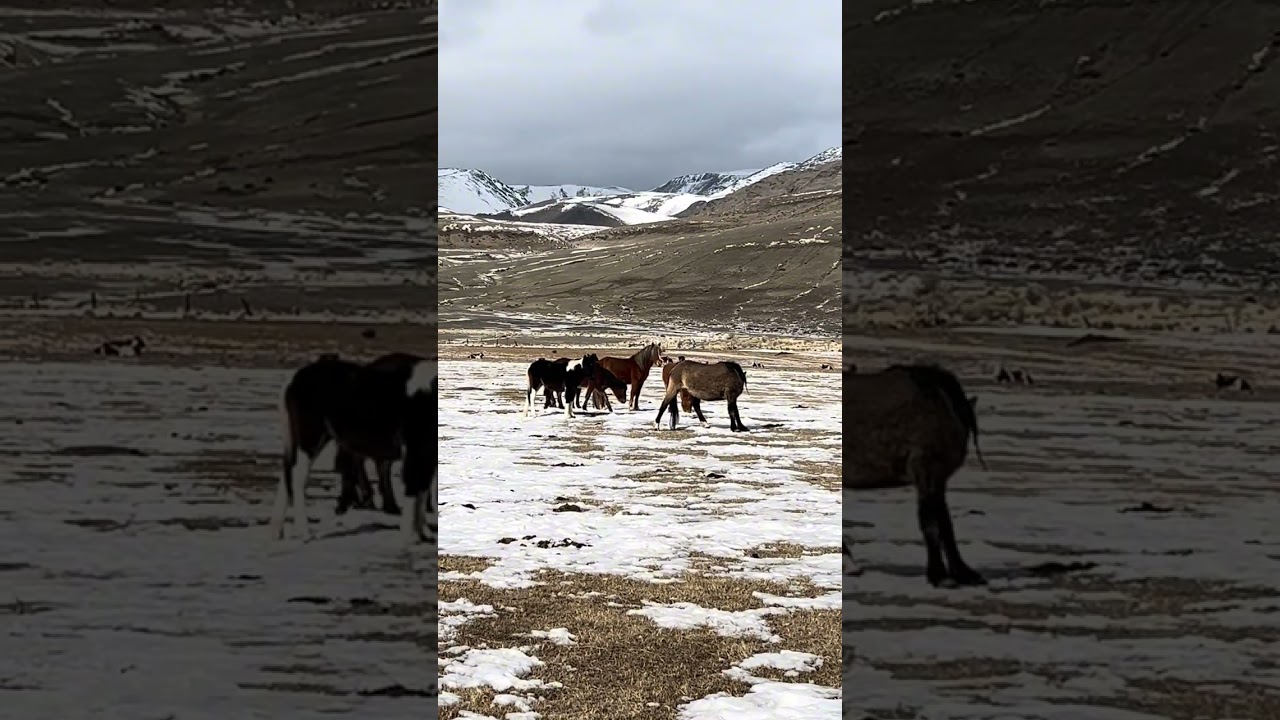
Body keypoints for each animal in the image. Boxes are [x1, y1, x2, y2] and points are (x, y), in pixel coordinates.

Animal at [270, 353, 435, 544]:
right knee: (297, 477)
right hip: (310, 435)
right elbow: (414, 490)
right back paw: (305, 533)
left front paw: (424, 533)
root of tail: (294, 378)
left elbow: (422, 491)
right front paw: (407, 537)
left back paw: (276, 531)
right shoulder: (415, 450)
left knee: (287, 474)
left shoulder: (426, 454)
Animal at [845, 364, 986, 587]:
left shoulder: (937, 478)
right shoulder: (928, 470)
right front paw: (941, 575)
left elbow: (945, 523)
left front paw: (961, 572)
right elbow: (932, 522)